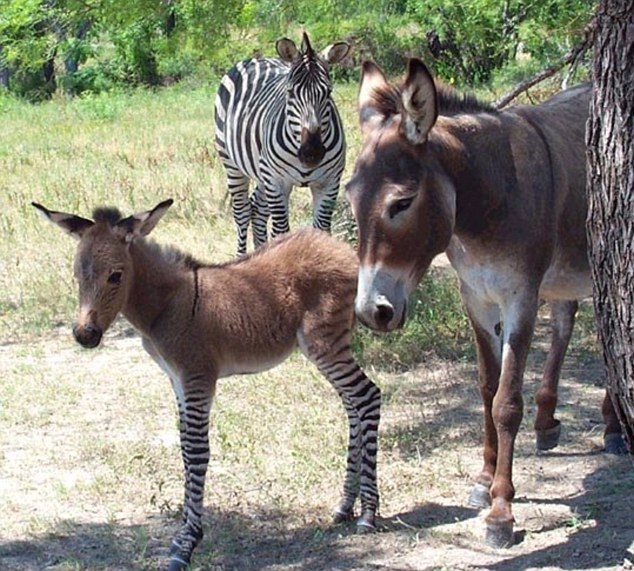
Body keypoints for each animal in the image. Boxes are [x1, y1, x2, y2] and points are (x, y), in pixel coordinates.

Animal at [33, 200, 380, 571]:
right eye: (76, 276)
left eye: (116, 275)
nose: (85, 335)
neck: (166, 306)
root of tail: (341, 249)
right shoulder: (177, 381)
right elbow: (185, 450)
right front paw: (184, 534)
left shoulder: (197, 378)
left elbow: (197, 452)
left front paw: (186, 544)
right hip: (331, 346)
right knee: (353, 405)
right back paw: (346, 506)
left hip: (324, 343)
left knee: (367, 396)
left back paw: (369, 513)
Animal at [215, 31, 348, 255]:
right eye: (290, 92)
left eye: (328, 93)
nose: (311, 153)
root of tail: (256, 58)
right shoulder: (277, 182)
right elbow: (281, 232)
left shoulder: (329, 182)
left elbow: (321, 231)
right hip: (232, 164)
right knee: (242, 213)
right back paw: (241, 256)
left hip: (261, 172)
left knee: (257, 209)